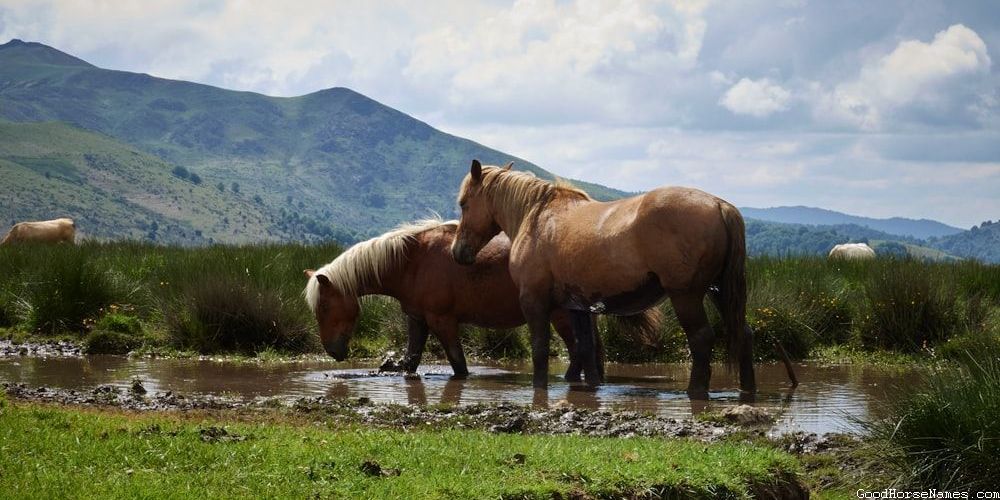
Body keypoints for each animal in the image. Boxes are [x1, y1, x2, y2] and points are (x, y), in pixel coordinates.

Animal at [304, 219, 653, 380]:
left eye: (324, 305)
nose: (333, 351)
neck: (412, 261)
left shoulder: (443, 321)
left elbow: (459, 365)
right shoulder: (417, 320)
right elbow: (411, 361)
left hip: (562, 316)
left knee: (579, 350)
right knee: (592, 351)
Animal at [451, 160, 755, 398]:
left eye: (463, 203)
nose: (458, 252)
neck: (536, 217)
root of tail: (719, 205)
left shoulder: (534, 301)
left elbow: (540, 349)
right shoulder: (577, 307)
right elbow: (586, 350)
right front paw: (590, 388)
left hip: (686, 295)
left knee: (701, 338)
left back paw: (696, 391)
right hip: (718, 292)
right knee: (744, 334)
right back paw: (747, 389)